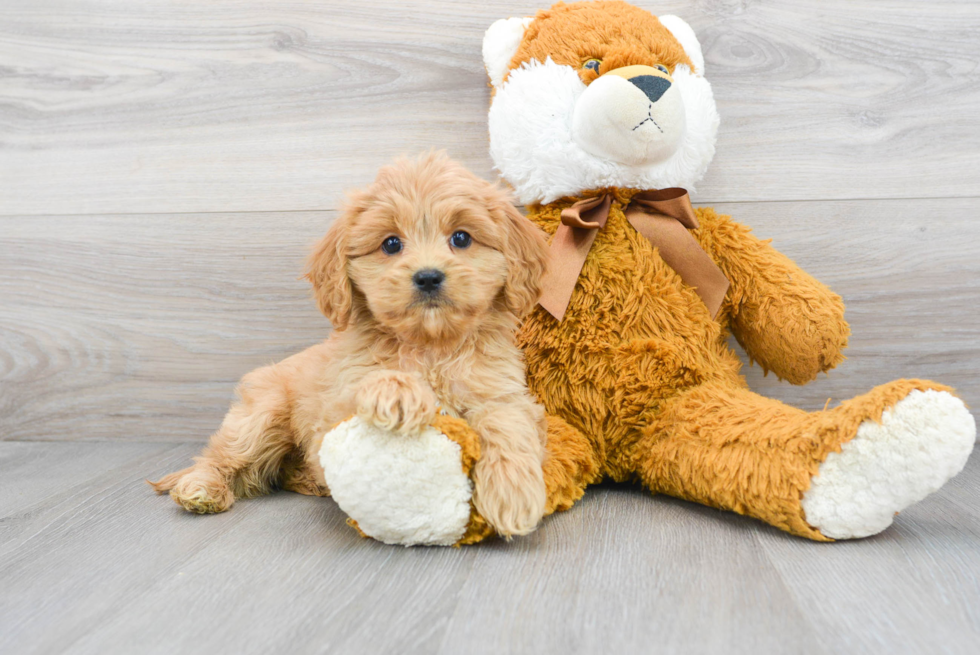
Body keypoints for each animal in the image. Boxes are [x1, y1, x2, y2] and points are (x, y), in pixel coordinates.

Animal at [153, 154, 552, 540]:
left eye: (462, 238)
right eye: (391, 243)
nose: (427, 277)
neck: (429, 346)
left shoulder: (503, 392)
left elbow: (507, 424)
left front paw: (512, 493)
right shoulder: (331, 411)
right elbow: (368, 386)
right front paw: (399, 393)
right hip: (262, 415)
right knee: (225, 457)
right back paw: (202, 487)